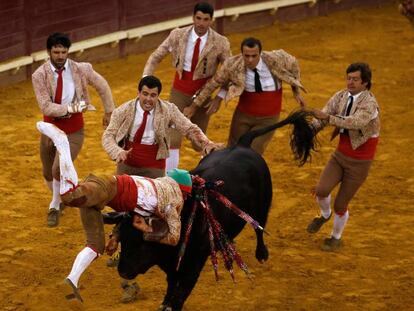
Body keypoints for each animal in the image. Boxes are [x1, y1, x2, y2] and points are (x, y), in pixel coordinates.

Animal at [105, 111, 316, 310]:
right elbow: (171, 287)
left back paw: (261, 254)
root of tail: (242, 145)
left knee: (259, 227)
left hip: (263, 203)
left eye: (141, 244)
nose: (123, 271)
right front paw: (164, 303)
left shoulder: (193, 266)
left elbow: (180, 294)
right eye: (123, 239)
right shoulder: (173, 266)